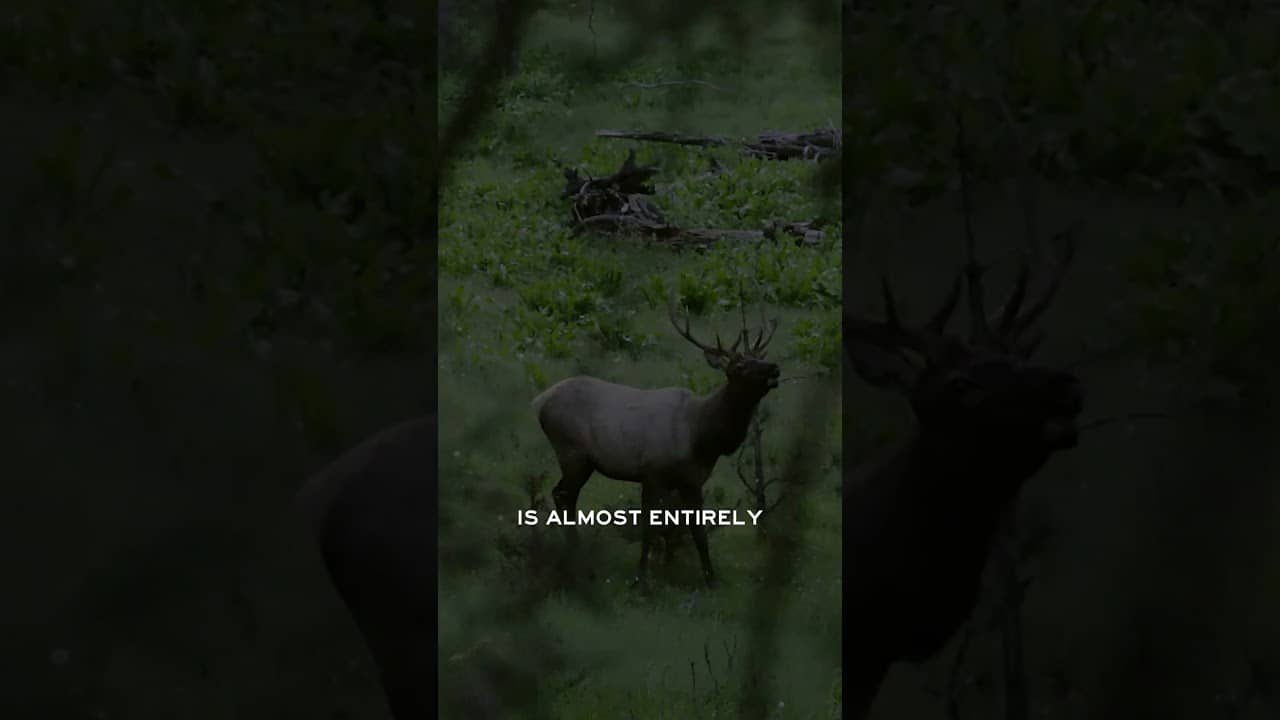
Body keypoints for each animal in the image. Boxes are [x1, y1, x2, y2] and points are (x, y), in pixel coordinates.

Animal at [531, 297, 780, 588]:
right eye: (739, 367)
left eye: (759, 358)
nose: (774, 367)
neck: (702, 438)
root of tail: (539, 401)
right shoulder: (652, 474)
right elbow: (649, 528)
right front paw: (641, 579)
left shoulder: (692, 481)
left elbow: (699, 532)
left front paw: (711, 580)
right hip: (572, 452)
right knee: (562, 495)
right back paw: (580, 563)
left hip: (580, 460)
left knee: (565, 496)